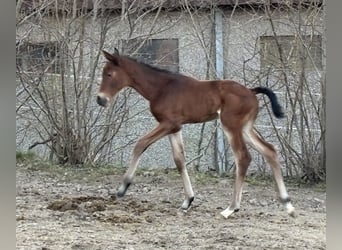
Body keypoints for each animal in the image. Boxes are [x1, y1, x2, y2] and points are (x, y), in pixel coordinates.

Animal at [95, 49, 294, 218]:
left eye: (109, 74)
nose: (100, 99)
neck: (161, 87)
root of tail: (252, 91)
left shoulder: (168, 123)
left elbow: (140, 144)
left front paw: (123, 187)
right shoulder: (175, 128)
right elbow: (179, 159)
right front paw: (187, 201)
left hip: (230, 125)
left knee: (243, 157)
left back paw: (231, 208)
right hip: (245, 128)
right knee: (270, 151)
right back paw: (287, 204)